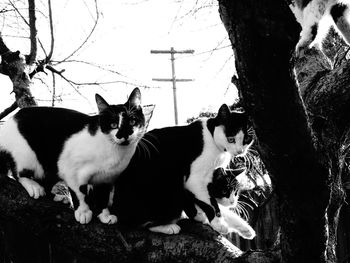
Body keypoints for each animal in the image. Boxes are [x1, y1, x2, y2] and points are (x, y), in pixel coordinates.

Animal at [0, 88, 146, 225]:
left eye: (132, 121)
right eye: (113, 125)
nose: (124, 134)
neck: (115, 154)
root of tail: (11, 119)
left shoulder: (106, 179)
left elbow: (103, 198)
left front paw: (105, 216)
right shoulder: (71, 171)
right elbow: (80, 193)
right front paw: (83, 212)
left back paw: (58, 197)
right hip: (26, 156)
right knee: (19, 173)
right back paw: (34, 186)